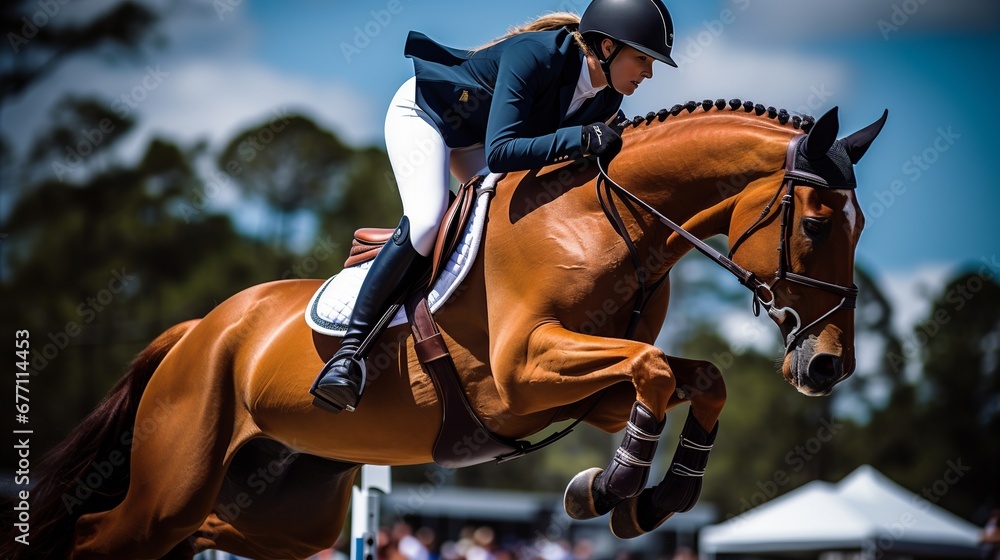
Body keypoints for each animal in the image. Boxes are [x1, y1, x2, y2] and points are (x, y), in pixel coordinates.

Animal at [14, 100, 886, 560]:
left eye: (862, 225)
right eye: (816, 224)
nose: (828, 368)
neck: (606, 221)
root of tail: (199, 330)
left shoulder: (576, 391)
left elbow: (694, 376)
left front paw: (653, 498)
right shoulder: (522, 373)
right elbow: (657, 371)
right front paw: (610, 488)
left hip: (282, 512)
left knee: (202, 535)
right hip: (170, 489)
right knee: (93, 533)